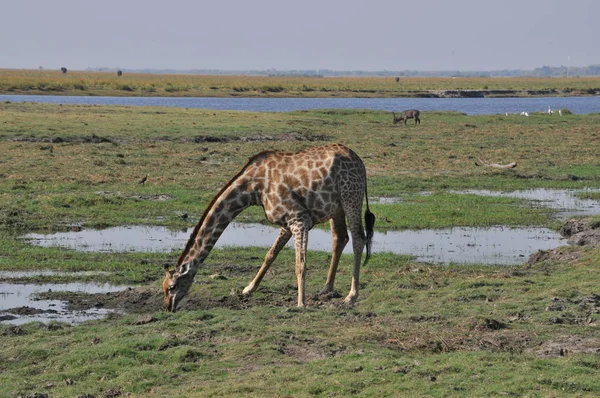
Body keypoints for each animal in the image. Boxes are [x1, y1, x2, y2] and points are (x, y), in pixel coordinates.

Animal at [162, 142, 372, 310]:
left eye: (172, 287)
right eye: (164, 287)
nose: (168, 307)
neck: (253, 189)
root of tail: (360, 162)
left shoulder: (299, 218)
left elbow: (300, 263)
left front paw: (301, 303)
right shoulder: (287, 222)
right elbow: (270, 255)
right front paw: (248, 289)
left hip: (350, 197)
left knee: (358, 239)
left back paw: (351, 295)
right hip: (336, 208)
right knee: (340, 238)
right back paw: (327, 288)